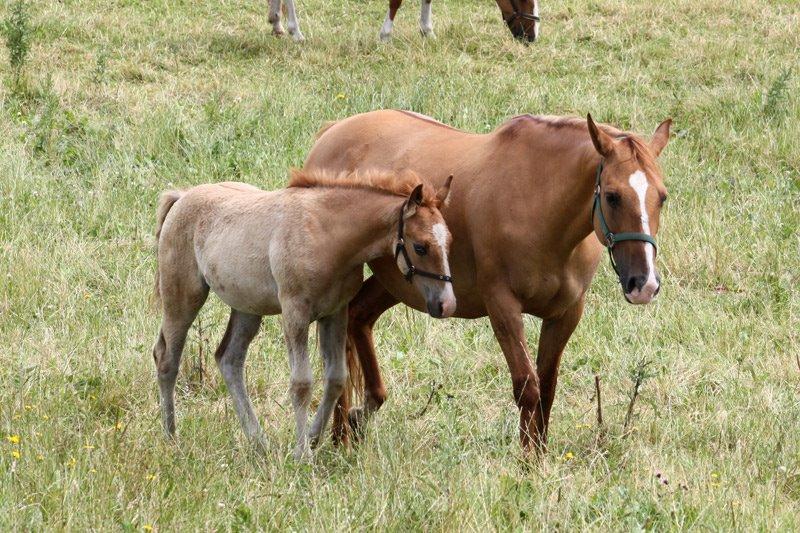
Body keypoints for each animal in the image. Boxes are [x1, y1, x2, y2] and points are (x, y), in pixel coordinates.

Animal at [152, 169, 456, 458]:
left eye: (450, 241)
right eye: (420, 247)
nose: (447, 305)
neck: (325, 236)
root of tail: (183, 196)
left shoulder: (335, 313)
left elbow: (336, 378)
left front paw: (311, 438)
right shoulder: (295, 313)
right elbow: (301, 384)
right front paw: (303, 454)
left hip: (248, 308)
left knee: (229, 359)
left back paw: (259, 442)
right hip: (184, 296)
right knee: (167, 358)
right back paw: (171, 438)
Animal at [304, 110, 672, 450]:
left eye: (662, 196)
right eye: (612, 196)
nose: (644, 284)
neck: (538, 203)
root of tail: (332, 132)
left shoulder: (565, 314)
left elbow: (547, 389)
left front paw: (540, 458)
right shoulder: (502, 306)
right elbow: (527, 388)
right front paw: (527, 464)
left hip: (402, 280)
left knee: (358, 318)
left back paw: (352, 422)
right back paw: (342, 430)